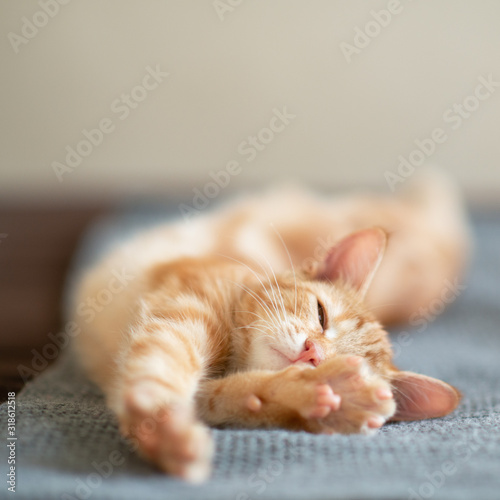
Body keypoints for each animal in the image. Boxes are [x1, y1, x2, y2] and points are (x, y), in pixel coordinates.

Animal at [72, 170, 470, 482]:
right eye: (321, 315)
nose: (313, 353)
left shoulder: (208, 389)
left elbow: (231, 395)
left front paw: (323, 395)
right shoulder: (185, 309)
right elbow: (163, 365)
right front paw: (161, 425)